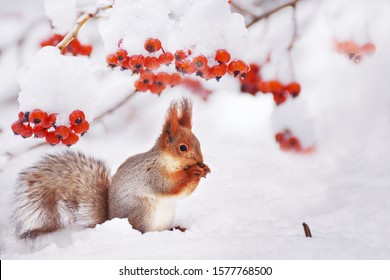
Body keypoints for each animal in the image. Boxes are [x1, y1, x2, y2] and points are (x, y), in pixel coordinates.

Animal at [10, 98, 210, 238]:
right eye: (182, 148)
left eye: (199, 142)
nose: (200, 160)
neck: (168, 161)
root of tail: (111, 220)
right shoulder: (153, 174)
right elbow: (169, 187)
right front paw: (193, 172)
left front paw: (204, 169)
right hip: (143, 210)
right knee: (143, 231)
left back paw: (176, 229)